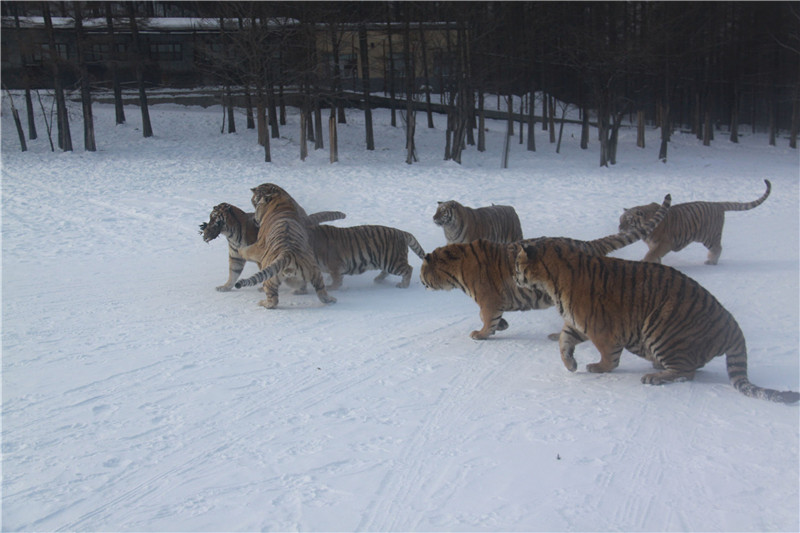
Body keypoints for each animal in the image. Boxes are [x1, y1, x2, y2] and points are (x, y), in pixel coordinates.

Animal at [198, 203, 346, 290]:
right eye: (210, 217)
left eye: (215, 218)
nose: (205, 228)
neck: (231, 235)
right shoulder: (236, 257)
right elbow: (233, 273)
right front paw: (225, 287)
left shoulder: (261, 257)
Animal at [422, 193, 672, 338]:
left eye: (424, 272)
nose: (422, 282)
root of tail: (588, 244)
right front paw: (502, 325)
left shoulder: (488, 298)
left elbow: (486, 317)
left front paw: (481, 333)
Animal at [512, 238, 800, 404]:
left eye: (517, 264)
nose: (514, 276)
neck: (551, 279)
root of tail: (732, 325)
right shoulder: (577, 322)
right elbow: (563, 341)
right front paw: (570, 364)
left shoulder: (600, 328)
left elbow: (609, 356)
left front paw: (598, 367)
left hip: (661, 329)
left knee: (686, 372)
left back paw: (654, 377)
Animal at [620, 179, 768, 264]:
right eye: (620, 220)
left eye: (629, 221)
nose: (620, 229)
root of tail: (717, 204)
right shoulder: (654, 244)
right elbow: (654, 254)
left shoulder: (664, 243)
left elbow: (651, 254)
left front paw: (646, 261)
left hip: (709, 237)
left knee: (718, 248)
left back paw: (711, 261)